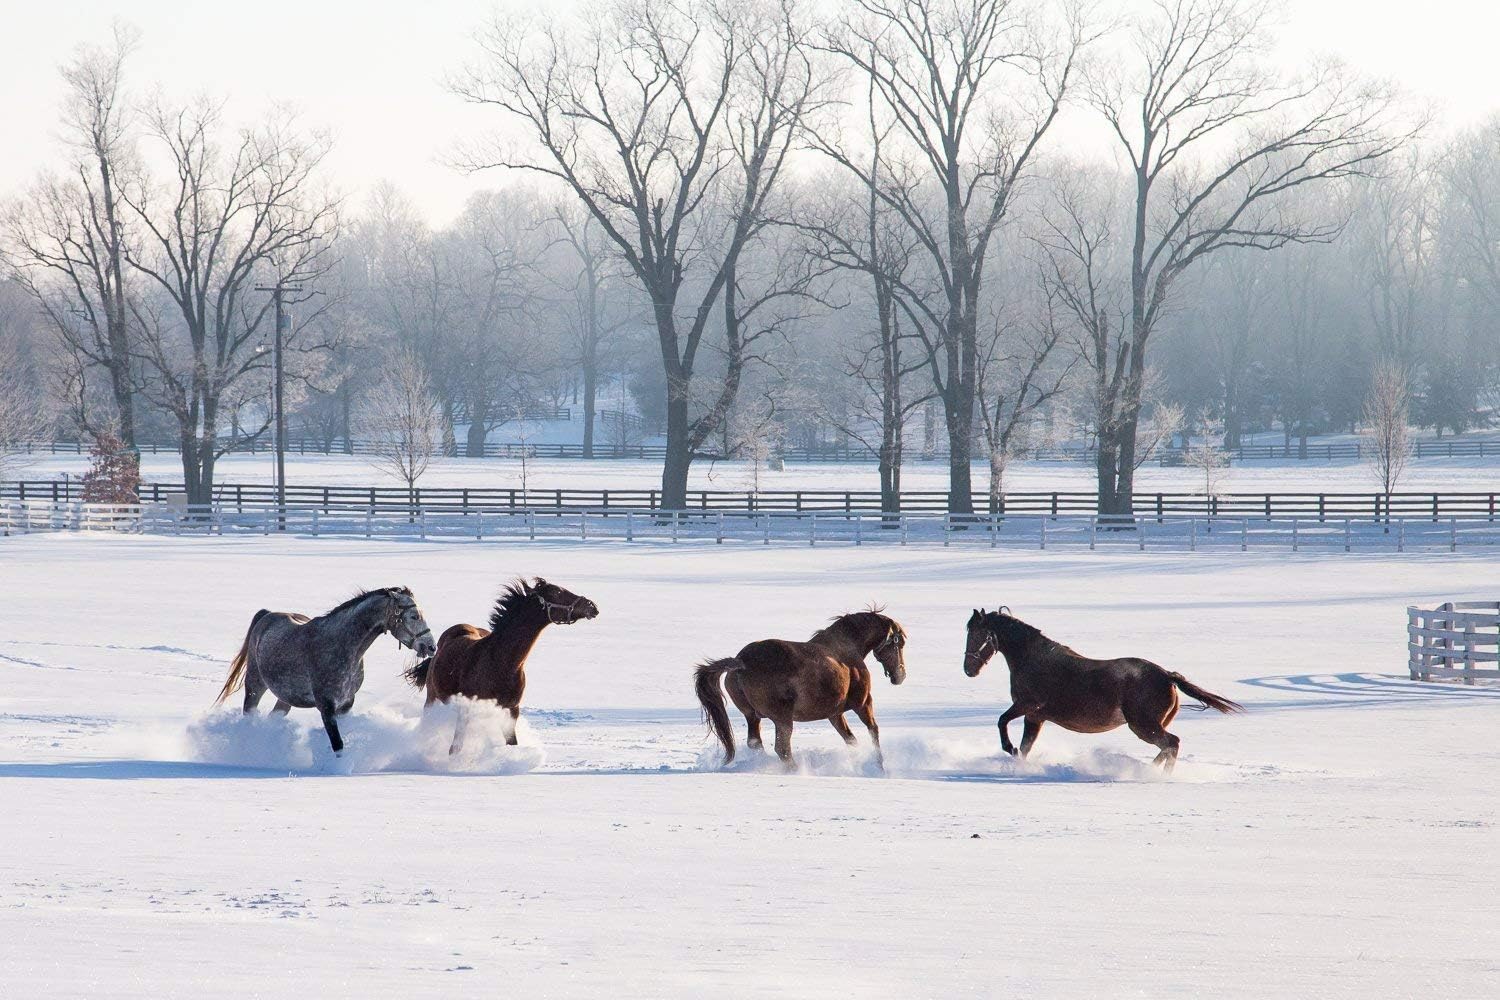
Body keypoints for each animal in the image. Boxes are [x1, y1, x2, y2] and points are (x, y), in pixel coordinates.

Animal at [216, 587, 438, 754]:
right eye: (414, 616)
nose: (431, 647)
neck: (341, 645)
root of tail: (267, 615)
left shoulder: (346, 704)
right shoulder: (326, 705)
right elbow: (337, 744)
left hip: (285, 698)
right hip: (255, 684)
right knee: (249, 712)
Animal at [405, 577, 599, 755]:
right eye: (558, 592)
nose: (592, 606)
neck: (501, 663)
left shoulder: (511, 710)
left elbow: (512, 743)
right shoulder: (468, 709)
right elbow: (456, 748)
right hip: (432, 698)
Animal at [695, 610, 908, 770]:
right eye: (899, 643)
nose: (900, 676)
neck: (847, 653)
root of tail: (741, 662)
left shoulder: (835, 714)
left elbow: (851, 739)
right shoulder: (863, 703)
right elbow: (873, 731)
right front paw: (879, 765)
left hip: (752, 716)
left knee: (756, 743)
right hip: (783, 719)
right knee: (782, 749)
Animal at [962, 607, 1243, 771]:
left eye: (976, 634)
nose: (968, 670)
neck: (1033, 659)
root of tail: (1166, 676)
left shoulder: (1027, 706)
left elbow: (1002, 722)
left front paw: (1009, 748)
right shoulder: (1035, 717)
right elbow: (1025, 747)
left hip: (1143, 725)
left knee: (1171, 743)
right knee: (1168, 747)